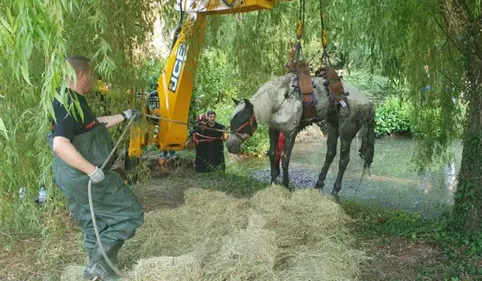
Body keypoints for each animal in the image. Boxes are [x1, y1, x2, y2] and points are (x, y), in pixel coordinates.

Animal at [226, 72, 376, 199]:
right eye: (231, 120)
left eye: (242, 120)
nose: (229, 145)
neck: (280, 99)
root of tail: (368, 102)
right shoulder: (273, 130)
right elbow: (273, 154)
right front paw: (273, 182)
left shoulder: (290, 133)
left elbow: (285, 159)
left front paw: (285, 184)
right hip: (333, 125)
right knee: (330, 154)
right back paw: (319, 184)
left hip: (346, 132)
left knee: (344, 160)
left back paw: (335, 191)